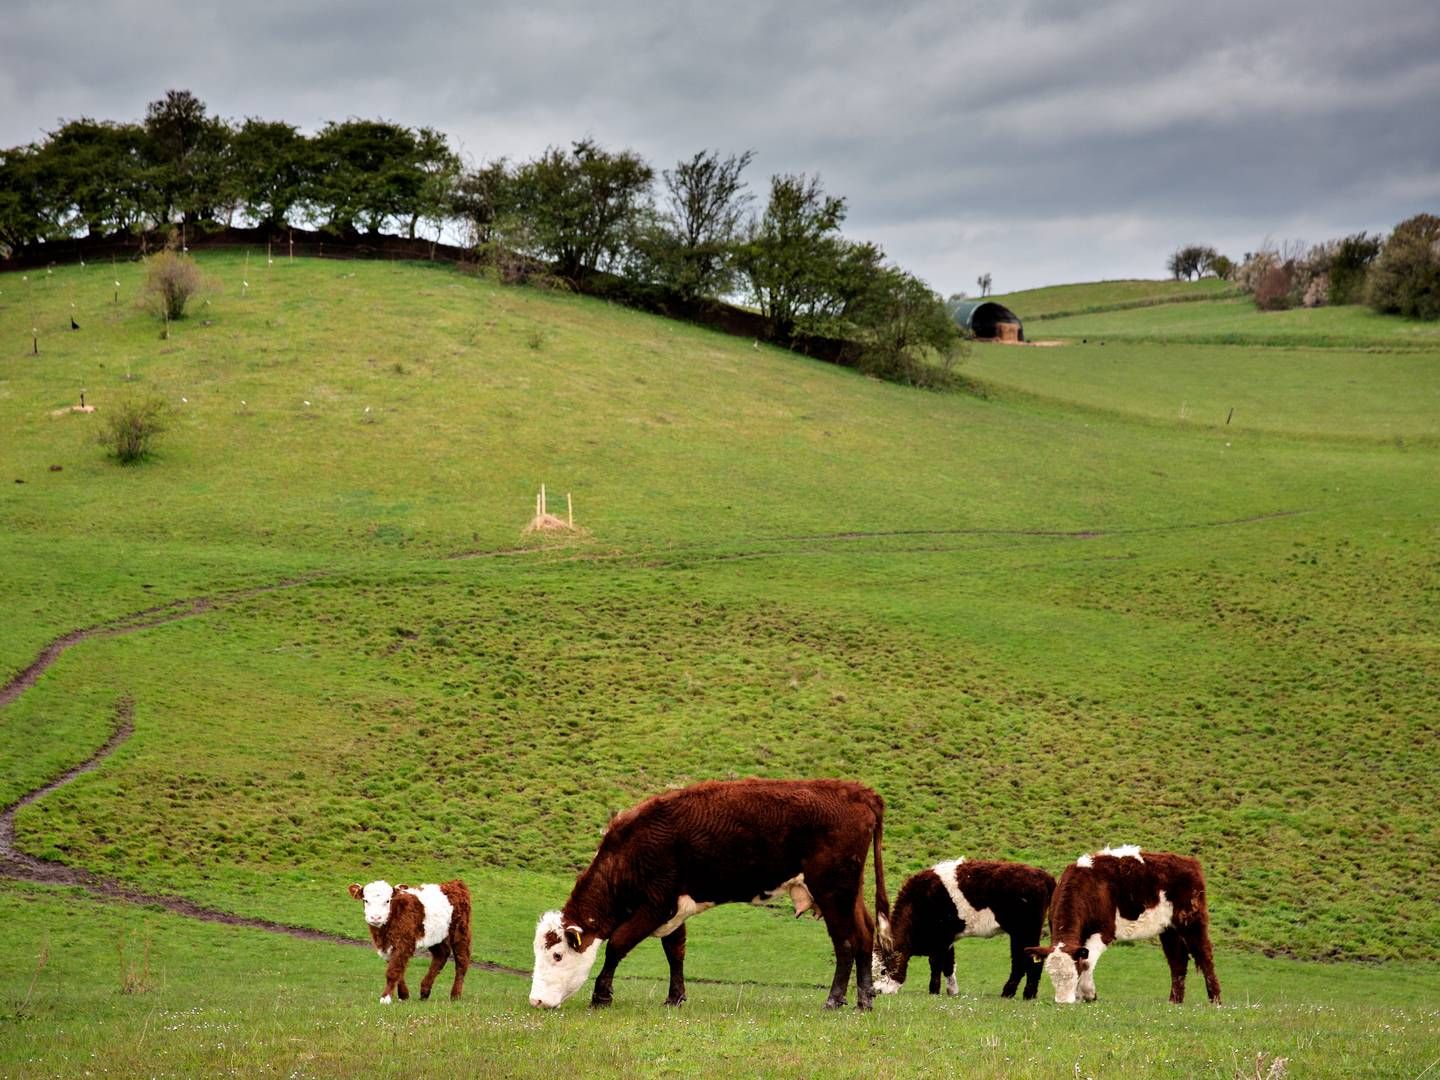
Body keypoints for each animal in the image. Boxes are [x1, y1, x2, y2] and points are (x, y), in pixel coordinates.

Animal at [529, 777, 887, 1013]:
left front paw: (601, 996)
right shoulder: (673, 911)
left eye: (557, 955)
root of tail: (858, 792)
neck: (632, 849)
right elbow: (675, 952)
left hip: (833, 892)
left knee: (845, 943)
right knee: (865, 934)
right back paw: (864, 1000)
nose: (536, 1000)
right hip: (849, 892)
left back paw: (834, 1000)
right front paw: (675, 997)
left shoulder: (656, 906)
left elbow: (617, 945)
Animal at [864, 858, 1059, 1002]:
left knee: (1026, 960)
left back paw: (1019, 994)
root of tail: (1043, 875)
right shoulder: (947, 939)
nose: (877, 992)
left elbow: (938, 963)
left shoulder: (941, 938)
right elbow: (947, 964)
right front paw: (950, 991)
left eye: (883, 970)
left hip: (1025, 930)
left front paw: (936, 990)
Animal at [1025, 846, 1226, 1008]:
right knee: (1178, 962)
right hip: (1169, 930)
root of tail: (1190, 861)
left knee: (1205, 956)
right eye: (1051, 975)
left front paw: (1089, 995)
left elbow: (1088, 961)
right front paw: (1081, 996)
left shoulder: (1103, 931)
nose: (1063, 1002)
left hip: (1192, 921)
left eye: (1073, 974)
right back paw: (1174, 1002)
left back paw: (1215, 1001)